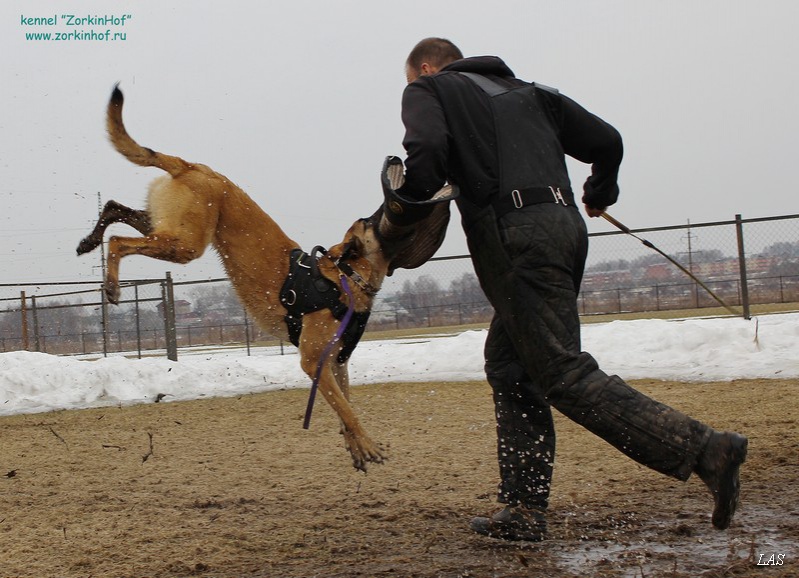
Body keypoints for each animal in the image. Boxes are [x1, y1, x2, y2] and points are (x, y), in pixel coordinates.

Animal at [78, 86, 394, 472]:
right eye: (371, 221)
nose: (388, 201)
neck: (343, 279)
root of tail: (195, 167)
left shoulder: (335, 363)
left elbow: (344, 407)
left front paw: (356, 448)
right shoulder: (313, 361)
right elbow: (348, 411)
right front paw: (368, 445)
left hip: (166, 226)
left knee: (112, 208)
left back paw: (88, 241)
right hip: (185, 242)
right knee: (118, 241)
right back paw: (109, 283)